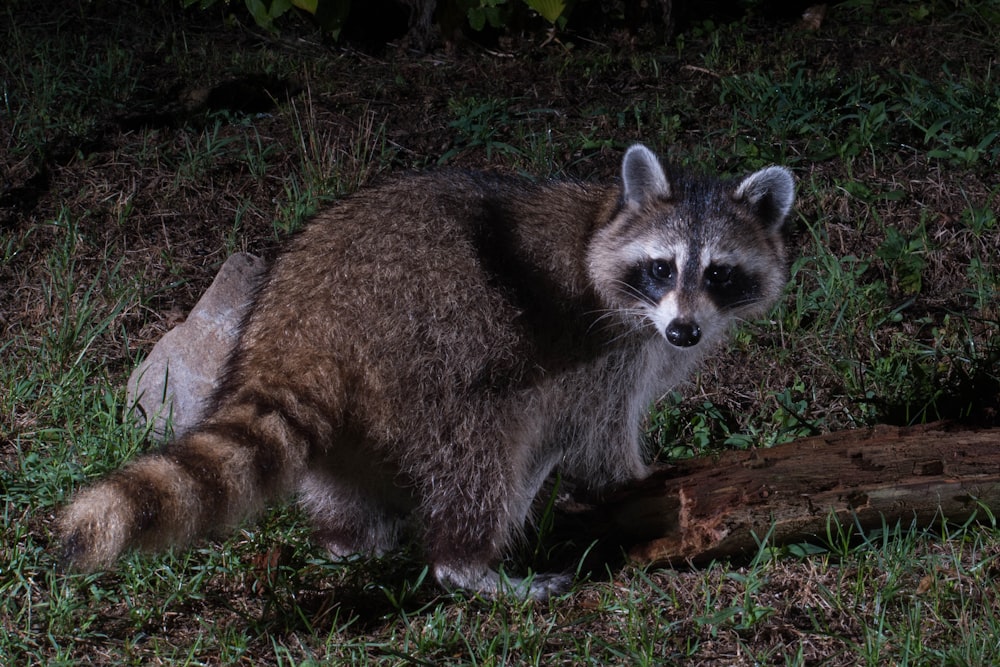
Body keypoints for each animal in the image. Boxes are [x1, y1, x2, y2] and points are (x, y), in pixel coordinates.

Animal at [60, 145, 796, 600]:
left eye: (719, 273)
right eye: (662, 268)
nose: (684, 332)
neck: (605, 217)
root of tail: (304, 325)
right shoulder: (600, 342)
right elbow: (595, 436)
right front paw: (636, 477)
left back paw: (351, 539)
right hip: (436, 343)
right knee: (482, 445)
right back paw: (468, 563)